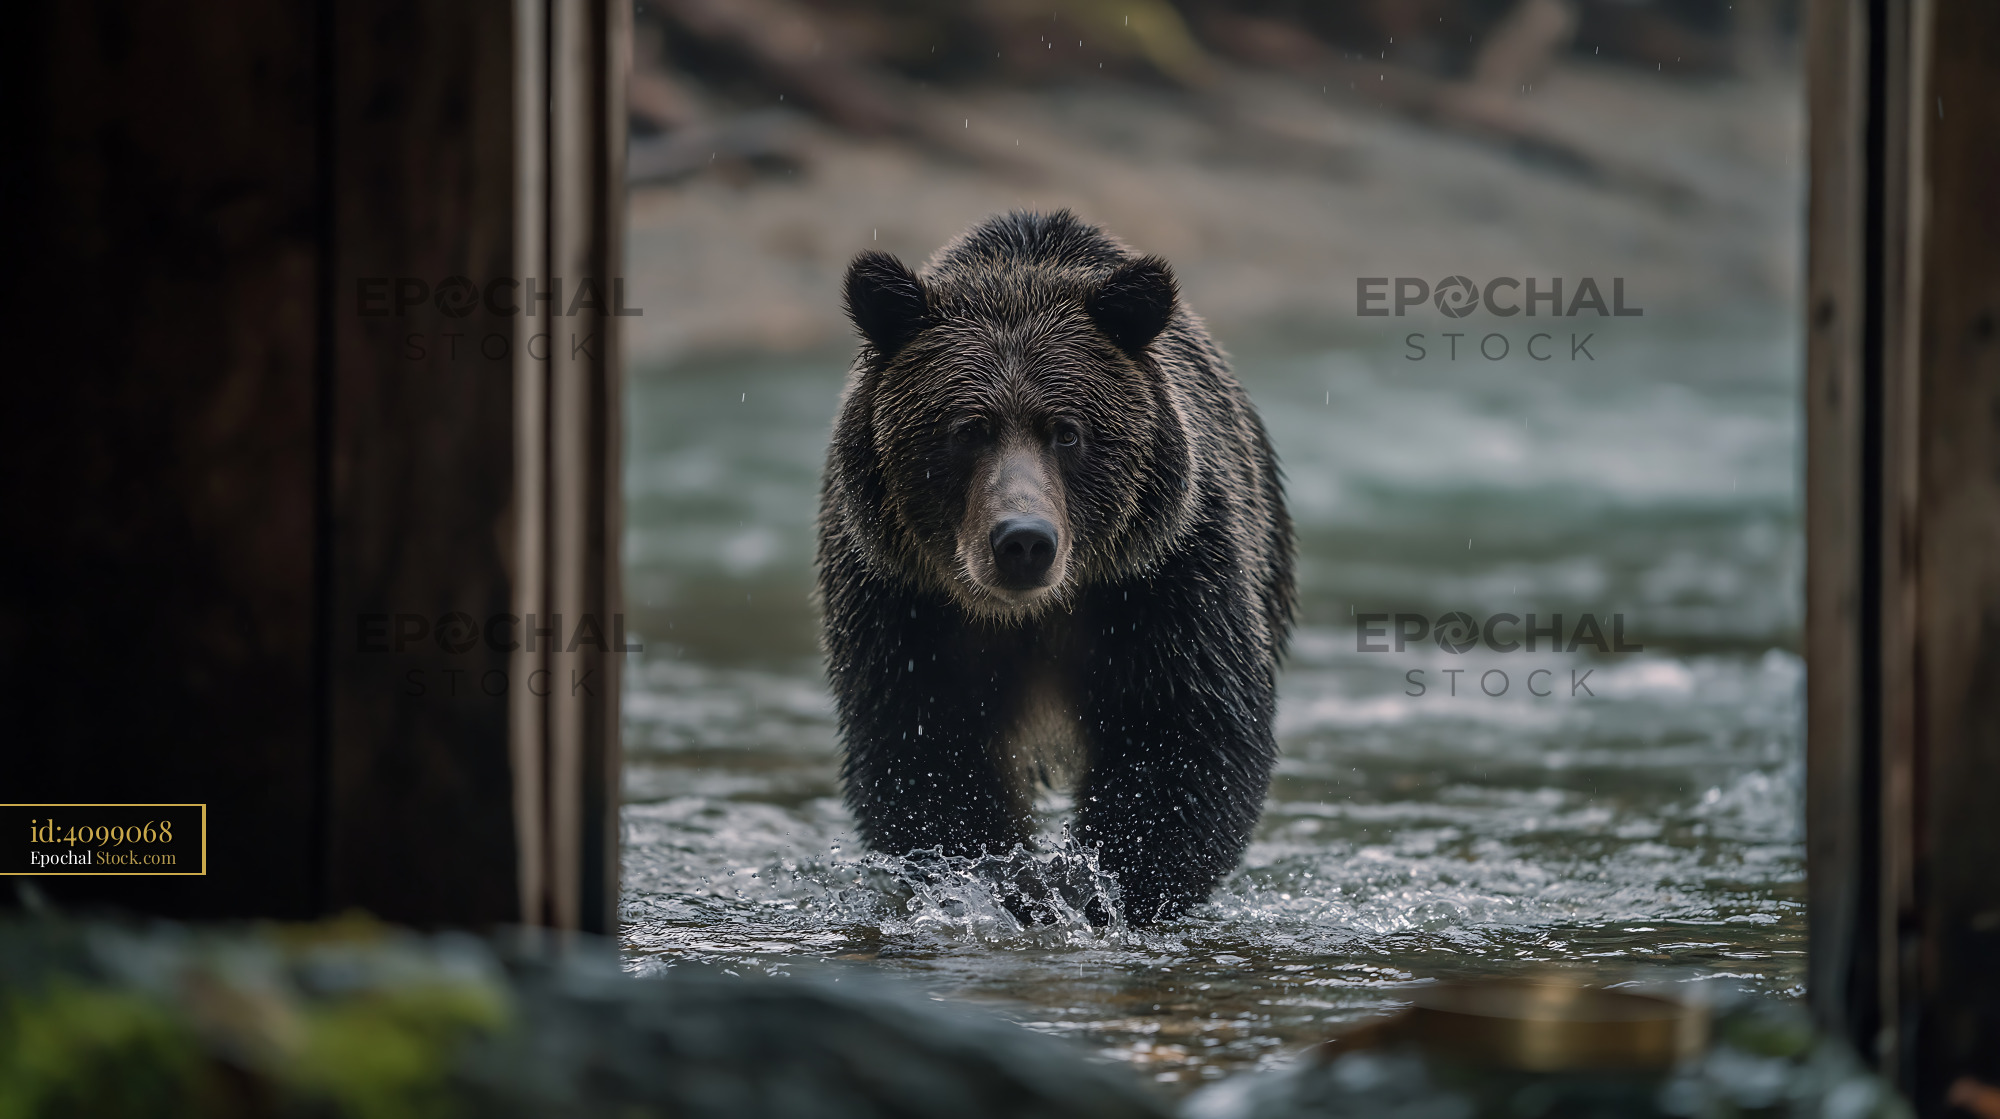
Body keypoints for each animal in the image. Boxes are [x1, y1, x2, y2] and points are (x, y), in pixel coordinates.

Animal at [816, 210, 1295, 925]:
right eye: (967, 430)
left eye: (1067, 431)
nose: (1023, 541)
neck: (1030, 612)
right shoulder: (903, 602)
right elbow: (926, 750)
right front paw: (1002, 879)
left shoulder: (1164, 584)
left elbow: (1185, 735)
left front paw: (1091, 886)